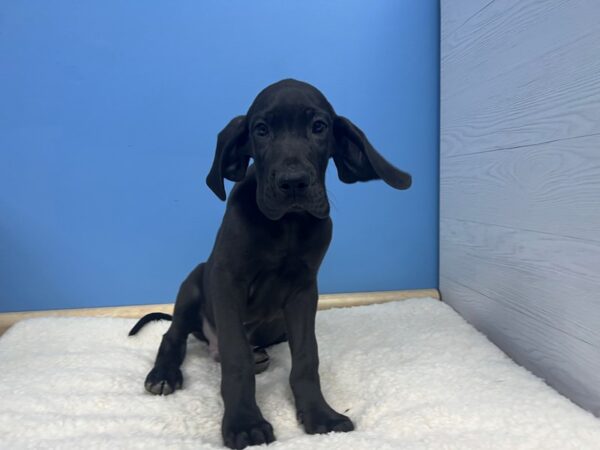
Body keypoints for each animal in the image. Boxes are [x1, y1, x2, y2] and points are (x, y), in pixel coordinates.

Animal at [130, 79, 412, 448]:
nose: (293, 183)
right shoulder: (226, 280)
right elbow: (236, 357)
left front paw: (320, 414)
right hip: (194, 282)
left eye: (319, 127)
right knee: (173, 335)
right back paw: (164, 374)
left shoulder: (304, 290)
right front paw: (245, 422)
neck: (287, 226)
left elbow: (307, 357)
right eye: (261, 130)